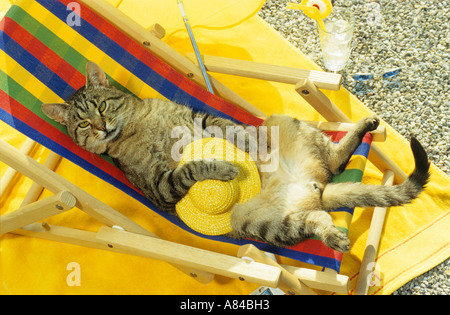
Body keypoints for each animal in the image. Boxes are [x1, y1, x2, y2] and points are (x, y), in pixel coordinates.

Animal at [41, 62, 428, 254]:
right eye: (83, 124)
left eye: (102, 106)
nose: (101, 127)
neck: (136, 126)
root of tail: (316, 187)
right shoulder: (159, 185)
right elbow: (193, 167)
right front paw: (224, 167)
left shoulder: (200, 118)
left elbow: (231, 130)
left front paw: (251, 147)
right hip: (264, 226)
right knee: (317, 215)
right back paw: (333, 236)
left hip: (281, 123)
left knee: (332, 161)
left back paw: (363, 126)